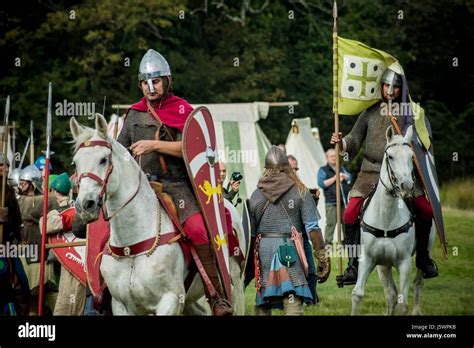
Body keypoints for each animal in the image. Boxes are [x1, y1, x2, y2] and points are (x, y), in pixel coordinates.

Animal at [71, 114, 248, 316]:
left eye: (103, 159)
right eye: (75, 162)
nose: (85, 205)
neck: (131, 244)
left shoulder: (170, 300)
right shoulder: (121, 305)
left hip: (234, 283)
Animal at [354, 125, 436, 316]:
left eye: (411, 156)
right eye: (390, 156)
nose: (407, 186)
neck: (385, 217)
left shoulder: (404, 263)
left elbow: (402, 303)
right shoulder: (367, 259)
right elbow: (358, 294)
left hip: (425, 250)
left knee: (418, 284)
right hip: (383, 265)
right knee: (390, 295)